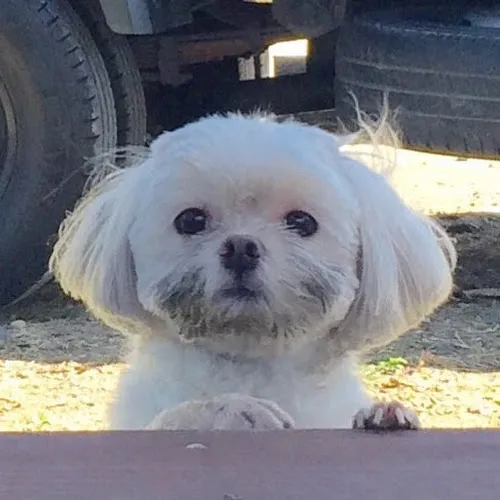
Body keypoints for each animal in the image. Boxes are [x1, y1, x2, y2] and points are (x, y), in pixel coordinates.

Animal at [48, 112, 456, 430]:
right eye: (190, 220)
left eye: (302, 222)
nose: (241, 248)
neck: (249, 363)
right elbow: (181, 413)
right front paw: (233, 409)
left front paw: (384, 412)